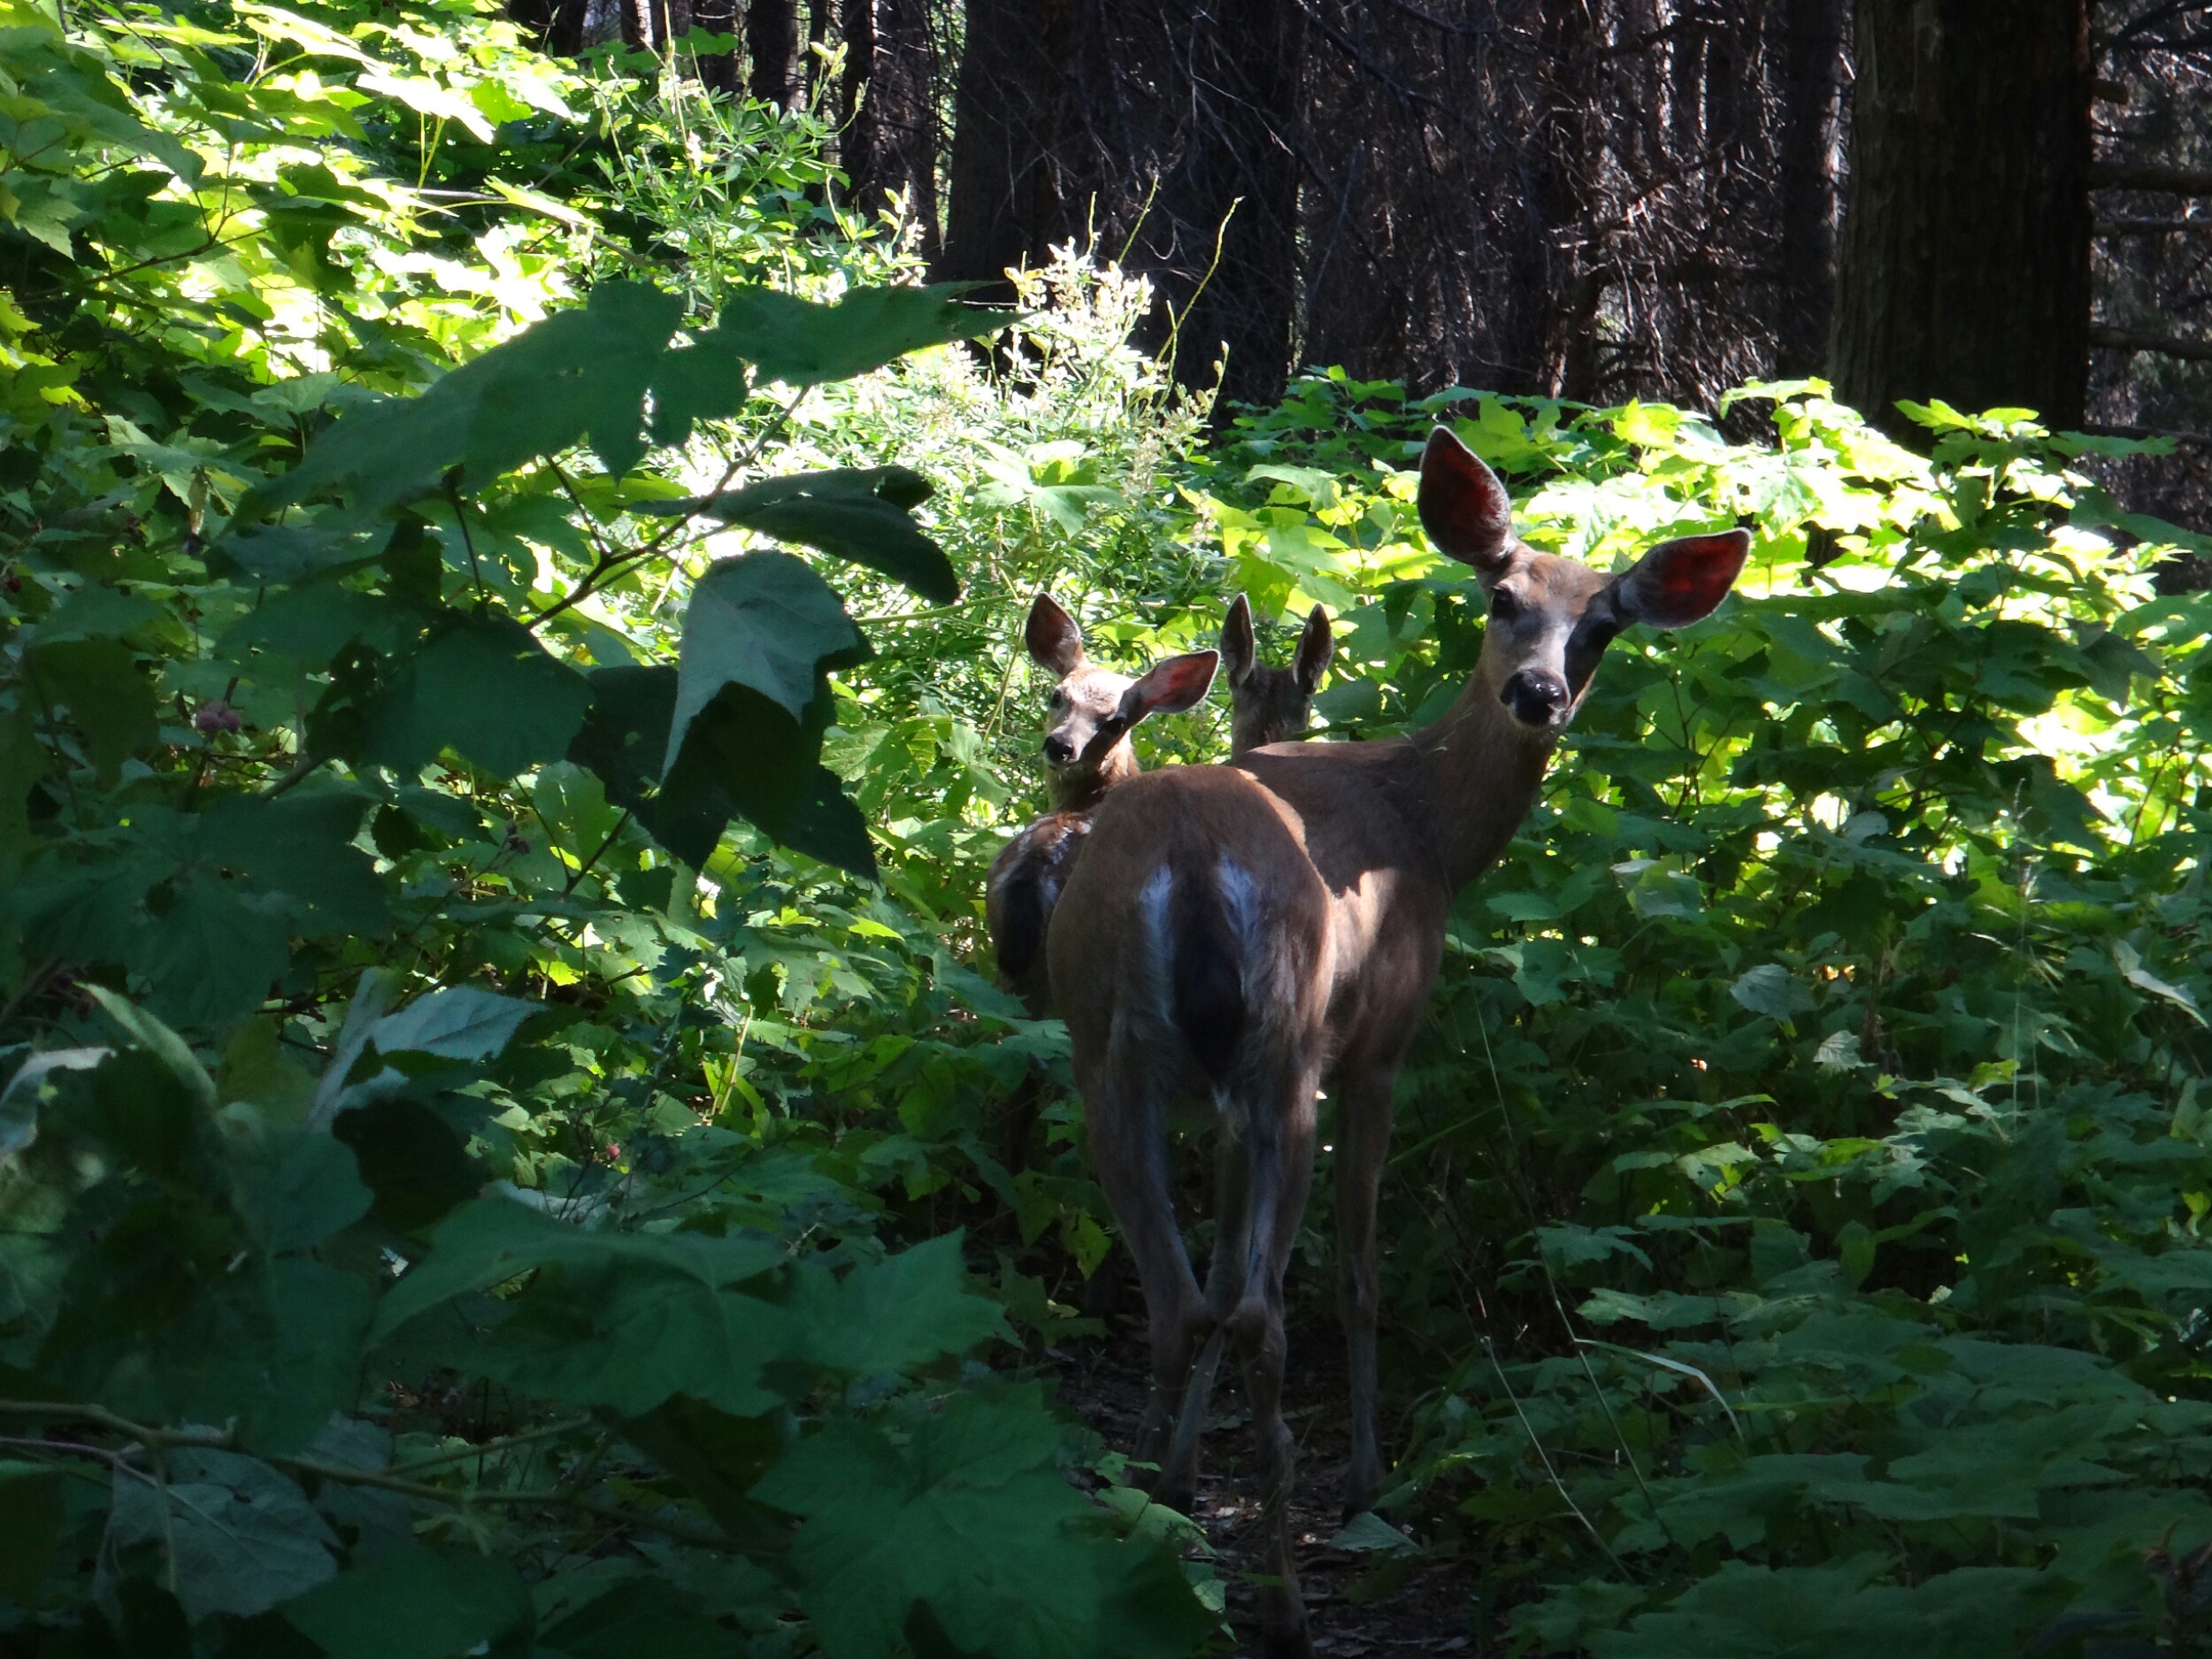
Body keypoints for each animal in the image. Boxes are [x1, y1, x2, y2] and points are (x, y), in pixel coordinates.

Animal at [1043, 428, 1749, 1656]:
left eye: (1603, 626)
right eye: (1503, 596)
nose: (1539, 692)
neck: (1425, 828)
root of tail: (1186, 858)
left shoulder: (1223, 1104)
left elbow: (1219, 1268)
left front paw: (1178, 1475)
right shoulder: (1374, 1053)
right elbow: (1362, 1274)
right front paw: (1370, 1477)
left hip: (1115, 1051)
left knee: (1186, 1303)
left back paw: (1141, 1532)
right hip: (1285, 1053)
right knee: (1266, 1312)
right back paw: (1283, 1603)